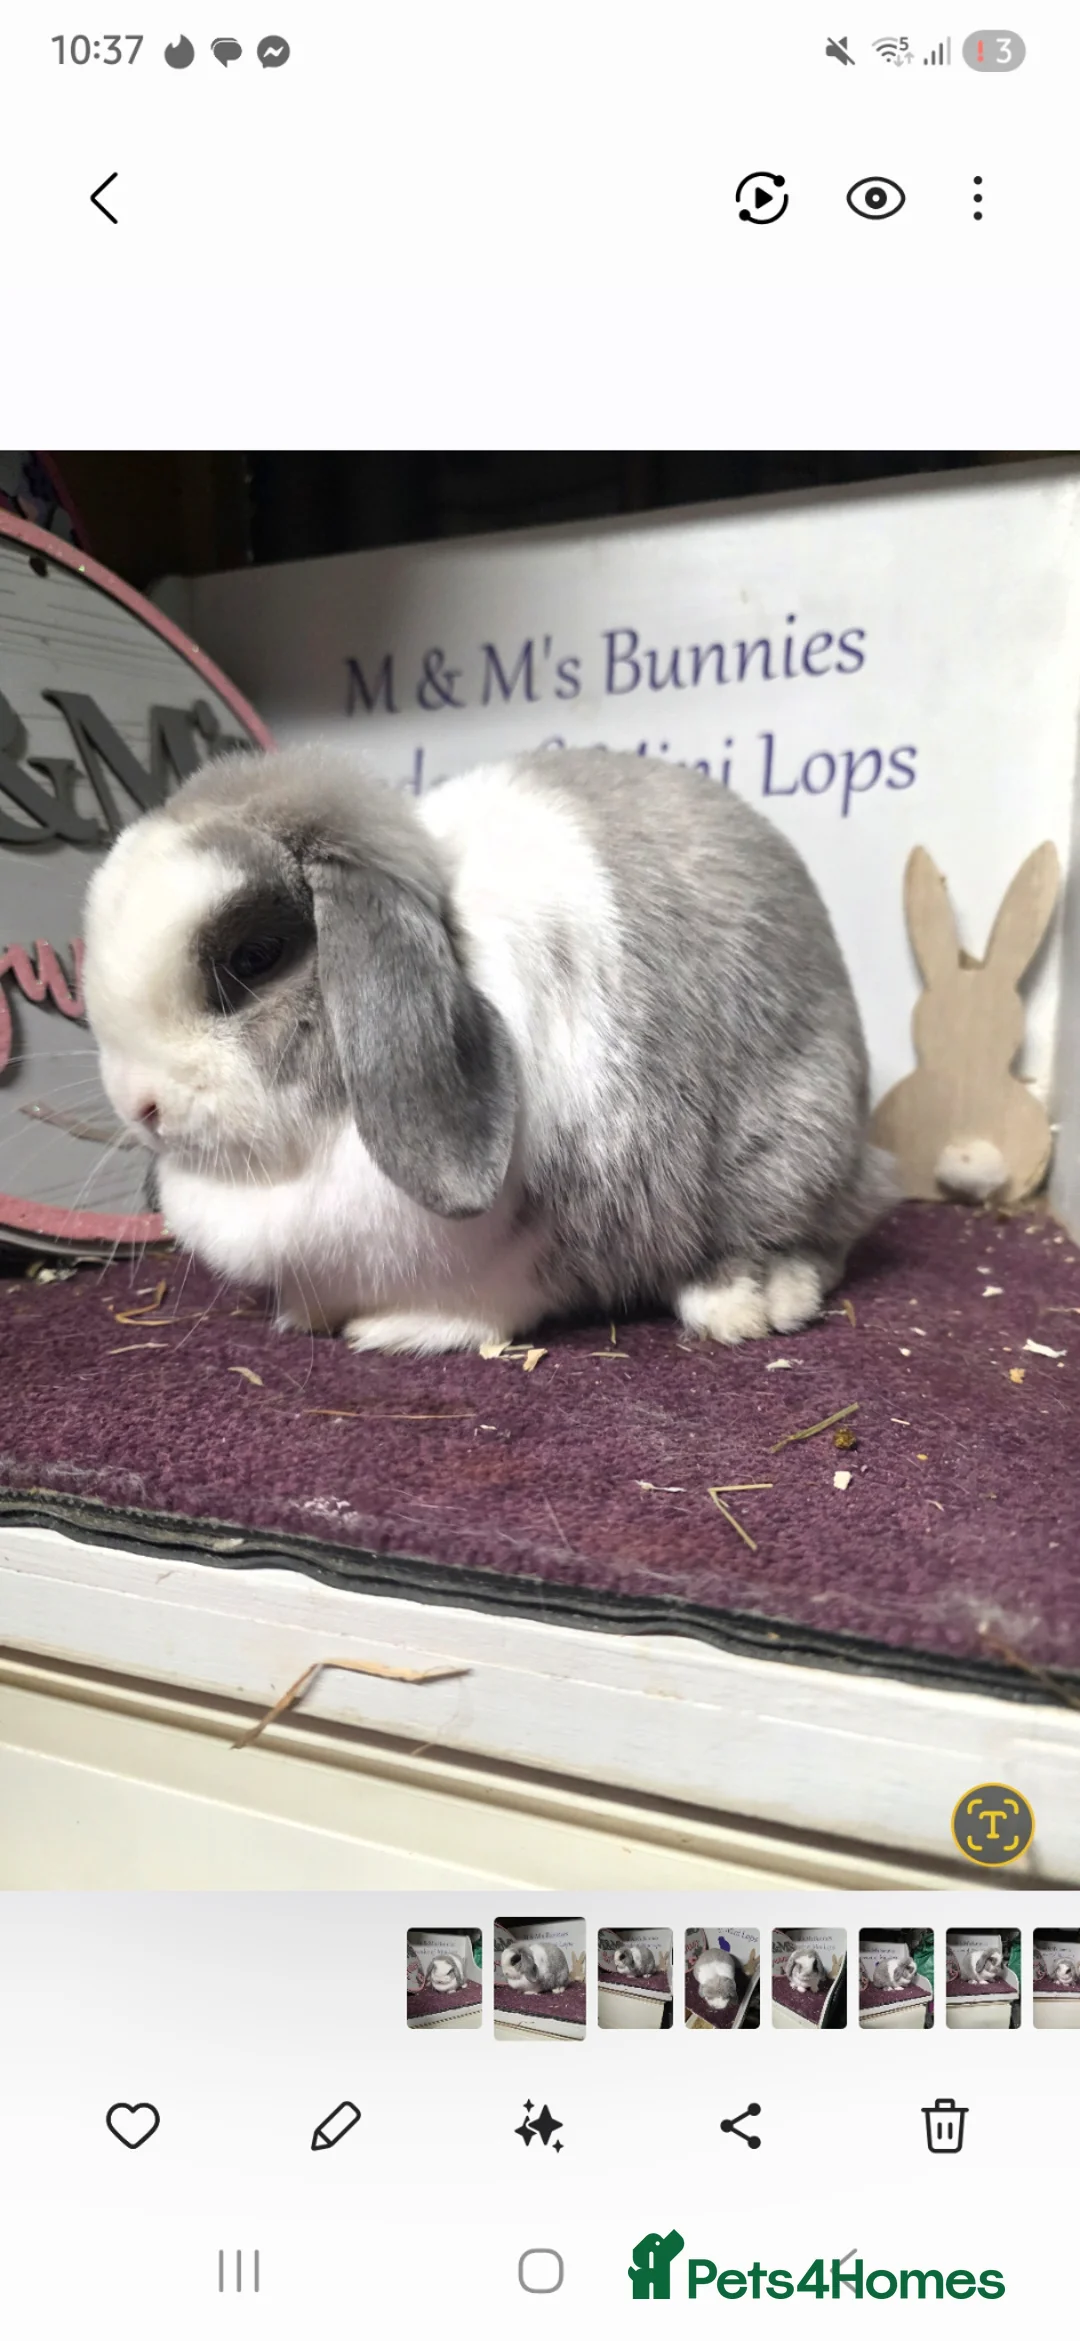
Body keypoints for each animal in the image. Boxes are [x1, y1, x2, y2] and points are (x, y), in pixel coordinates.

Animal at [80, 743, 888, 1357]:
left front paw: (394, 1331)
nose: (138, 1105)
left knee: (820, 1232)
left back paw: (750, 1302)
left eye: (254, 957)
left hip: (795, 1137)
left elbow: (488, 1303)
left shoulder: (534, 1241)